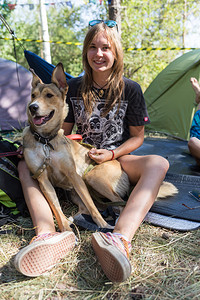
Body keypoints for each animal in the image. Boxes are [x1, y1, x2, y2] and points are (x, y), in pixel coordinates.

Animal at [22, 62, 178, 232]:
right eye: (33, 95)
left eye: (49, 95)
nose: (32, 107)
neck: (45, 141)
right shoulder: (43, 179)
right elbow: (56, 209)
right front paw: (65, 229)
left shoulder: (74, 175)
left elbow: (92, 208)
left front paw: (102, 225)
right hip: (75, 192)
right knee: (90, 208)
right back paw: (74, 220)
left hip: (92, 178)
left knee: (117, 202)